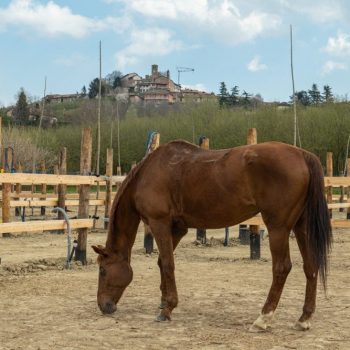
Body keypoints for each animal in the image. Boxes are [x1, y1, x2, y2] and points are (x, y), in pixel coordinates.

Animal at [91, 139, 332, 330]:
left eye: (102, 271)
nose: (103, 306)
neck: (148, 173)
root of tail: (302, 155)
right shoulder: (177, 228)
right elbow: (162, 263)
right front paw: (163, 301)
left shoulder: (159, 224)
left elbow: (168, 264)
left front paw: (167, 309)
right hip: (301, 227)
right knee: (311, 266)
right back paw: (303, 318)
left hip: (278, 228)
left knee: (282, 268)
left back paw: (263, 318)